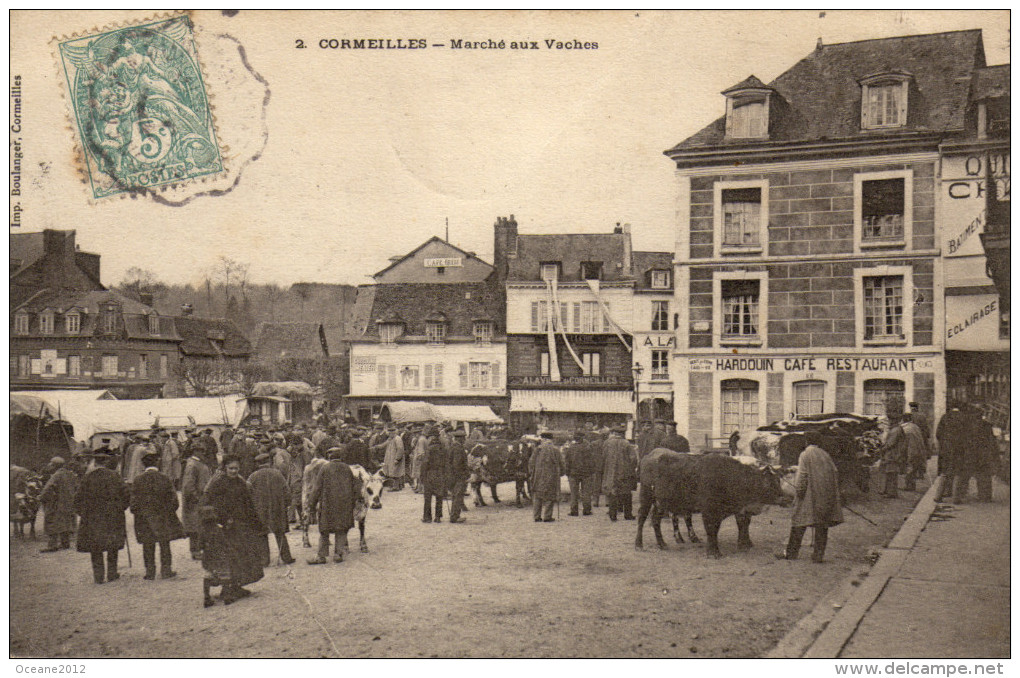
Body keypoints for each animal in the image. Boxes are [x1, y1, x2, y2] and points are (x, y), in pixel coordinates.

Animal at [636, 448, 787, 554]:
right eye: (768, 482)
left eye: (778, 480)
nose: (785, 497)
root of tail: (649, 455)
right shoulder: (710, 510)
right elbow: (712, 528)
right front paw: (714, 552)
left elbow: (720, 528)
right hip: (646, 495)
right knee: (642, 518)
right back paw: (639, 543)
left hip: (661, 502)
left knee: (656, 520)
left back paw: (663, 543)